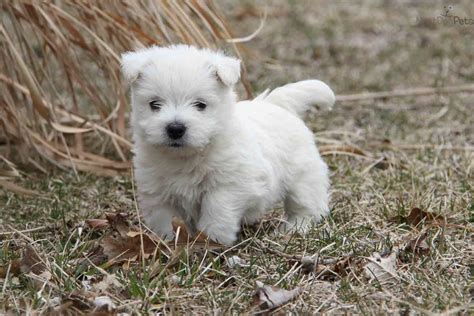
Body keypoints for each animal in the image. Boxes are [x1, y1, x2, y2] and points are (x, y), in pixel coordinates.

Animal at [124, 45, 336, 246]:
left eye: (200, 105)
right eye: (154, 104)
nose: (175, 128)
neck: (186, 156)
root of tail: (277, 104)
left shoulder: (227, 185)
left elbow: (216, 210)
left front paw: (212, 240)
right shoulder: (157, 191)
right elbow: (164, 218)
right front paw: (165, 242)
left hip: (302, 177)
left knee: (304, 204)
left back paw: (294, 228)